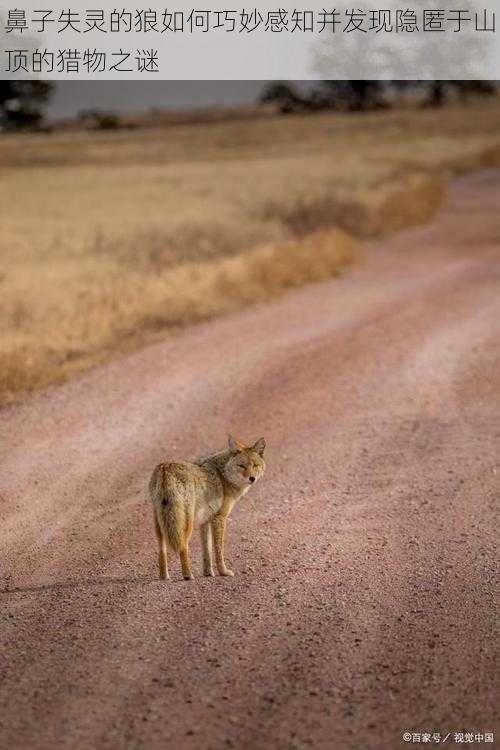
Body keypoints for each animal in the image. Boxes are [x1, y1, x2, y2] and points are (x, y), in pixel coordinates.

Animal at [148, 438, 266, 584]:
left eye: (255, 465)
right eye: (242, 466)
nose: (252, 478)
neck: (223, 475)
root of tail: (165, 467)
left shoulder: (204, 522)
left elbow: (207, 551)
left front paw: (208, 573)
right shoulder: (219, 518)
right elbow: (218, 550)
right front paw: (223, 572)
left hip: (161, 524)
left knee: (162, 549)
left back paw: (164, 576)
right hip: (186, 524)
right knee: (183, 546)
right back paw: (187, 575)